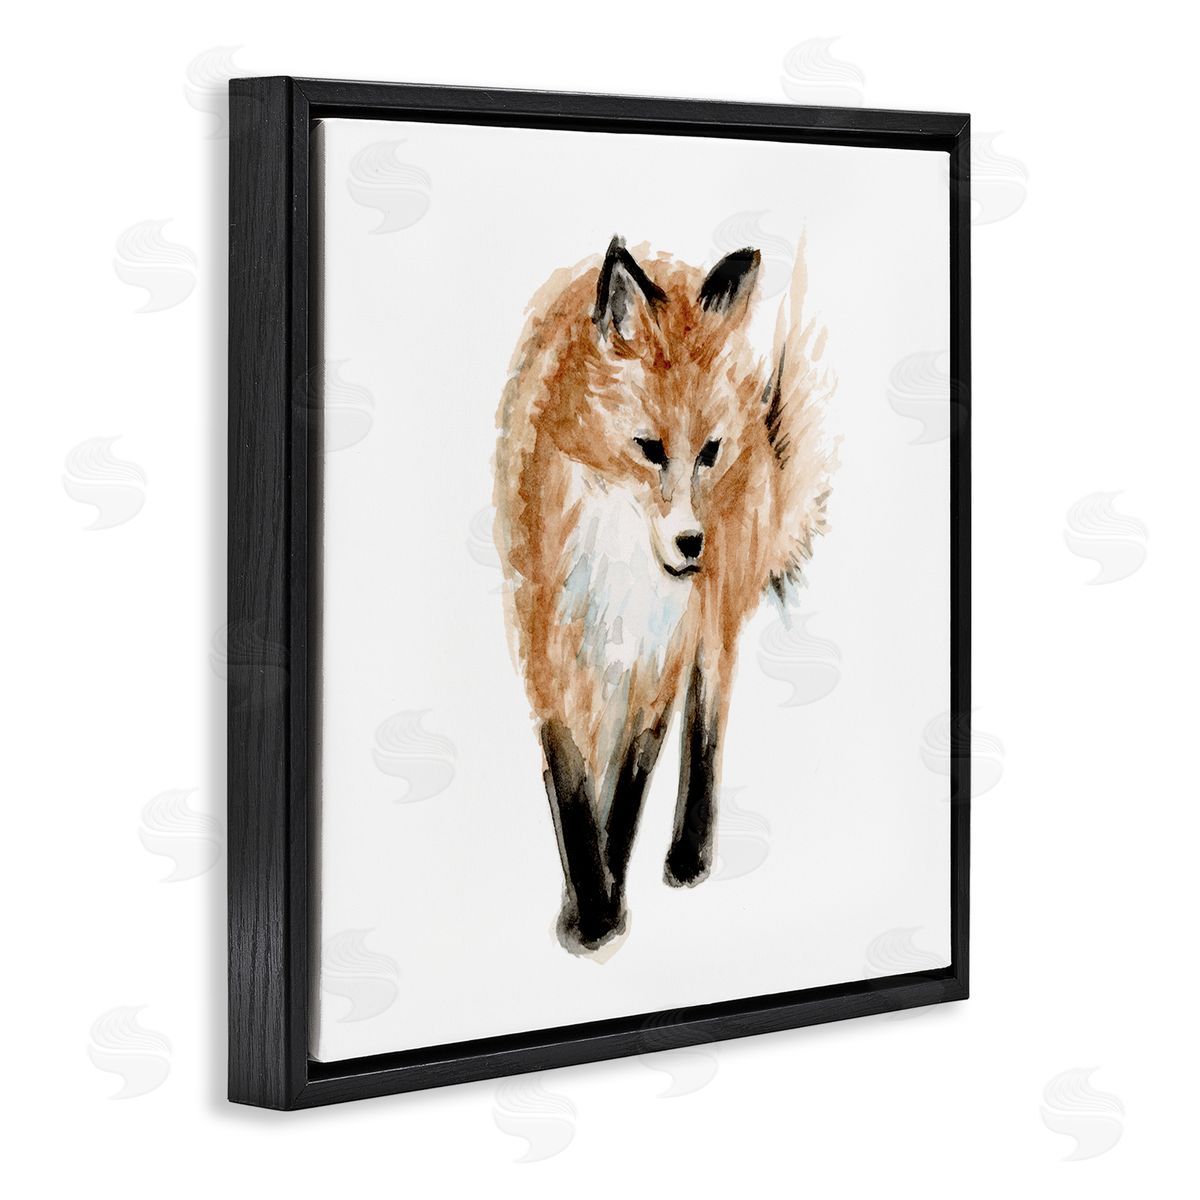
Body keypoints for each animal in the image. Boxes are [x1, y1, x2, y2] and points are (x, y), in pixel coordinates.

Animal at [494, 235, 836, 955]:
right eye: (649, 449)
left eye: (708, 452)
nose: (690, 545)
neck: (619, 560)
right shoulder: (544, 644)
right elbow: (573, 785)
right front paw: (590, 906)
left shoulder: (661, 656)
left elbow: (630, 786)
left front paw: (605, 908)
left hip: (714, 619)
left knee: (708, 719)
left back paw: (689, 852)